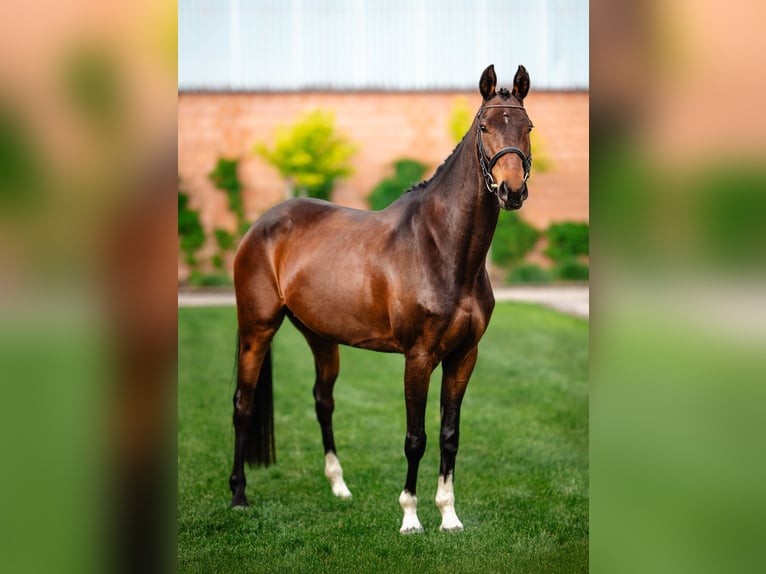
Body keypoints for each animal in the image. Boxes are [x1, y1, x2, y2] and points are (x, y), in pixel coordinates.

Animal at [229, 64, 533, 533]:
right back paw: (239, 496)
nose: (511, 191)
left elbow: (449, 435)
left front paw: (449, 515)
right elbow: (415, 438)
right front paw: (410, 517)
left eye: (527, 126)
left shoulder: (464, 357)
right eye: (485, 127)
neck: (442, 248)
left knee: (323, 401)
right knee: (243, 404)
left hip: (321, 337)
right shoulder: (419, 357)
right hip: (256, 329)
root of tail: (261, 224)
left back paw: (339, 487)